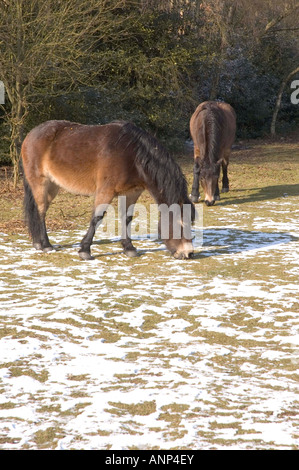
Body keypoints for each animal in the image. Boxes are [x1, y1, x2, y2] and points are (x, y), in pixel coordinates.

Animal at [21, 119, 195, 260]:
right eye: (180, 223)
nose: (188, 253)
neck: (132, 155)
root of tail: (31, 135)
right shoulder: (106, 191)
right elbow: (97, 218)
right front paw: (85, 250)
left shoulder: (132, 192)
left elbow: (127, 218)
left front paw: (129, 247)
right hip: (41, 183)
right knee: (41, 211)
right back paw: (46, 245)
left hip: (53, 186)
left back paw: (37, 243)